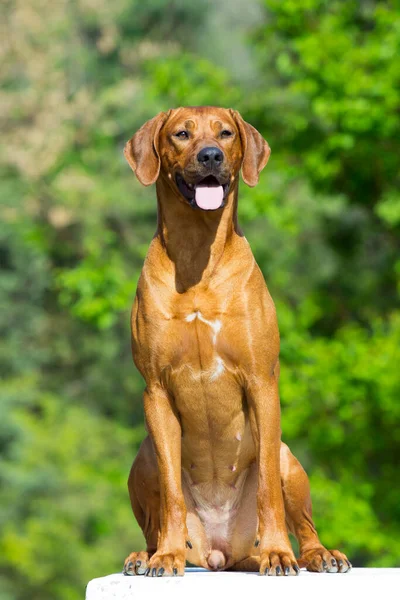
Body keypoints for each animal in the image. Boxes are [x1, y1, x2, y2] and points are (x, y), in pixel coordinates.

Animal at [122, 106, 350, 576]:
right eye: (181, 134)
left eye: (226, 133)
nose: (210, 155)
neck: (197, 253)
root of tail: (221, 552)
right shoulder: (155, 389)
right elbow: (172, 495)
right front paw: (167, 554)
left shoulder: (261, 381)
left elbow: (267, 489)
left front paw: (279, 553)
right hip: (144, 458)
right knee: (155, 513)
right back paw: (146, 554)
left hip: (288, 459)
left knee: (302, 521)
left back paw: (317, 554)